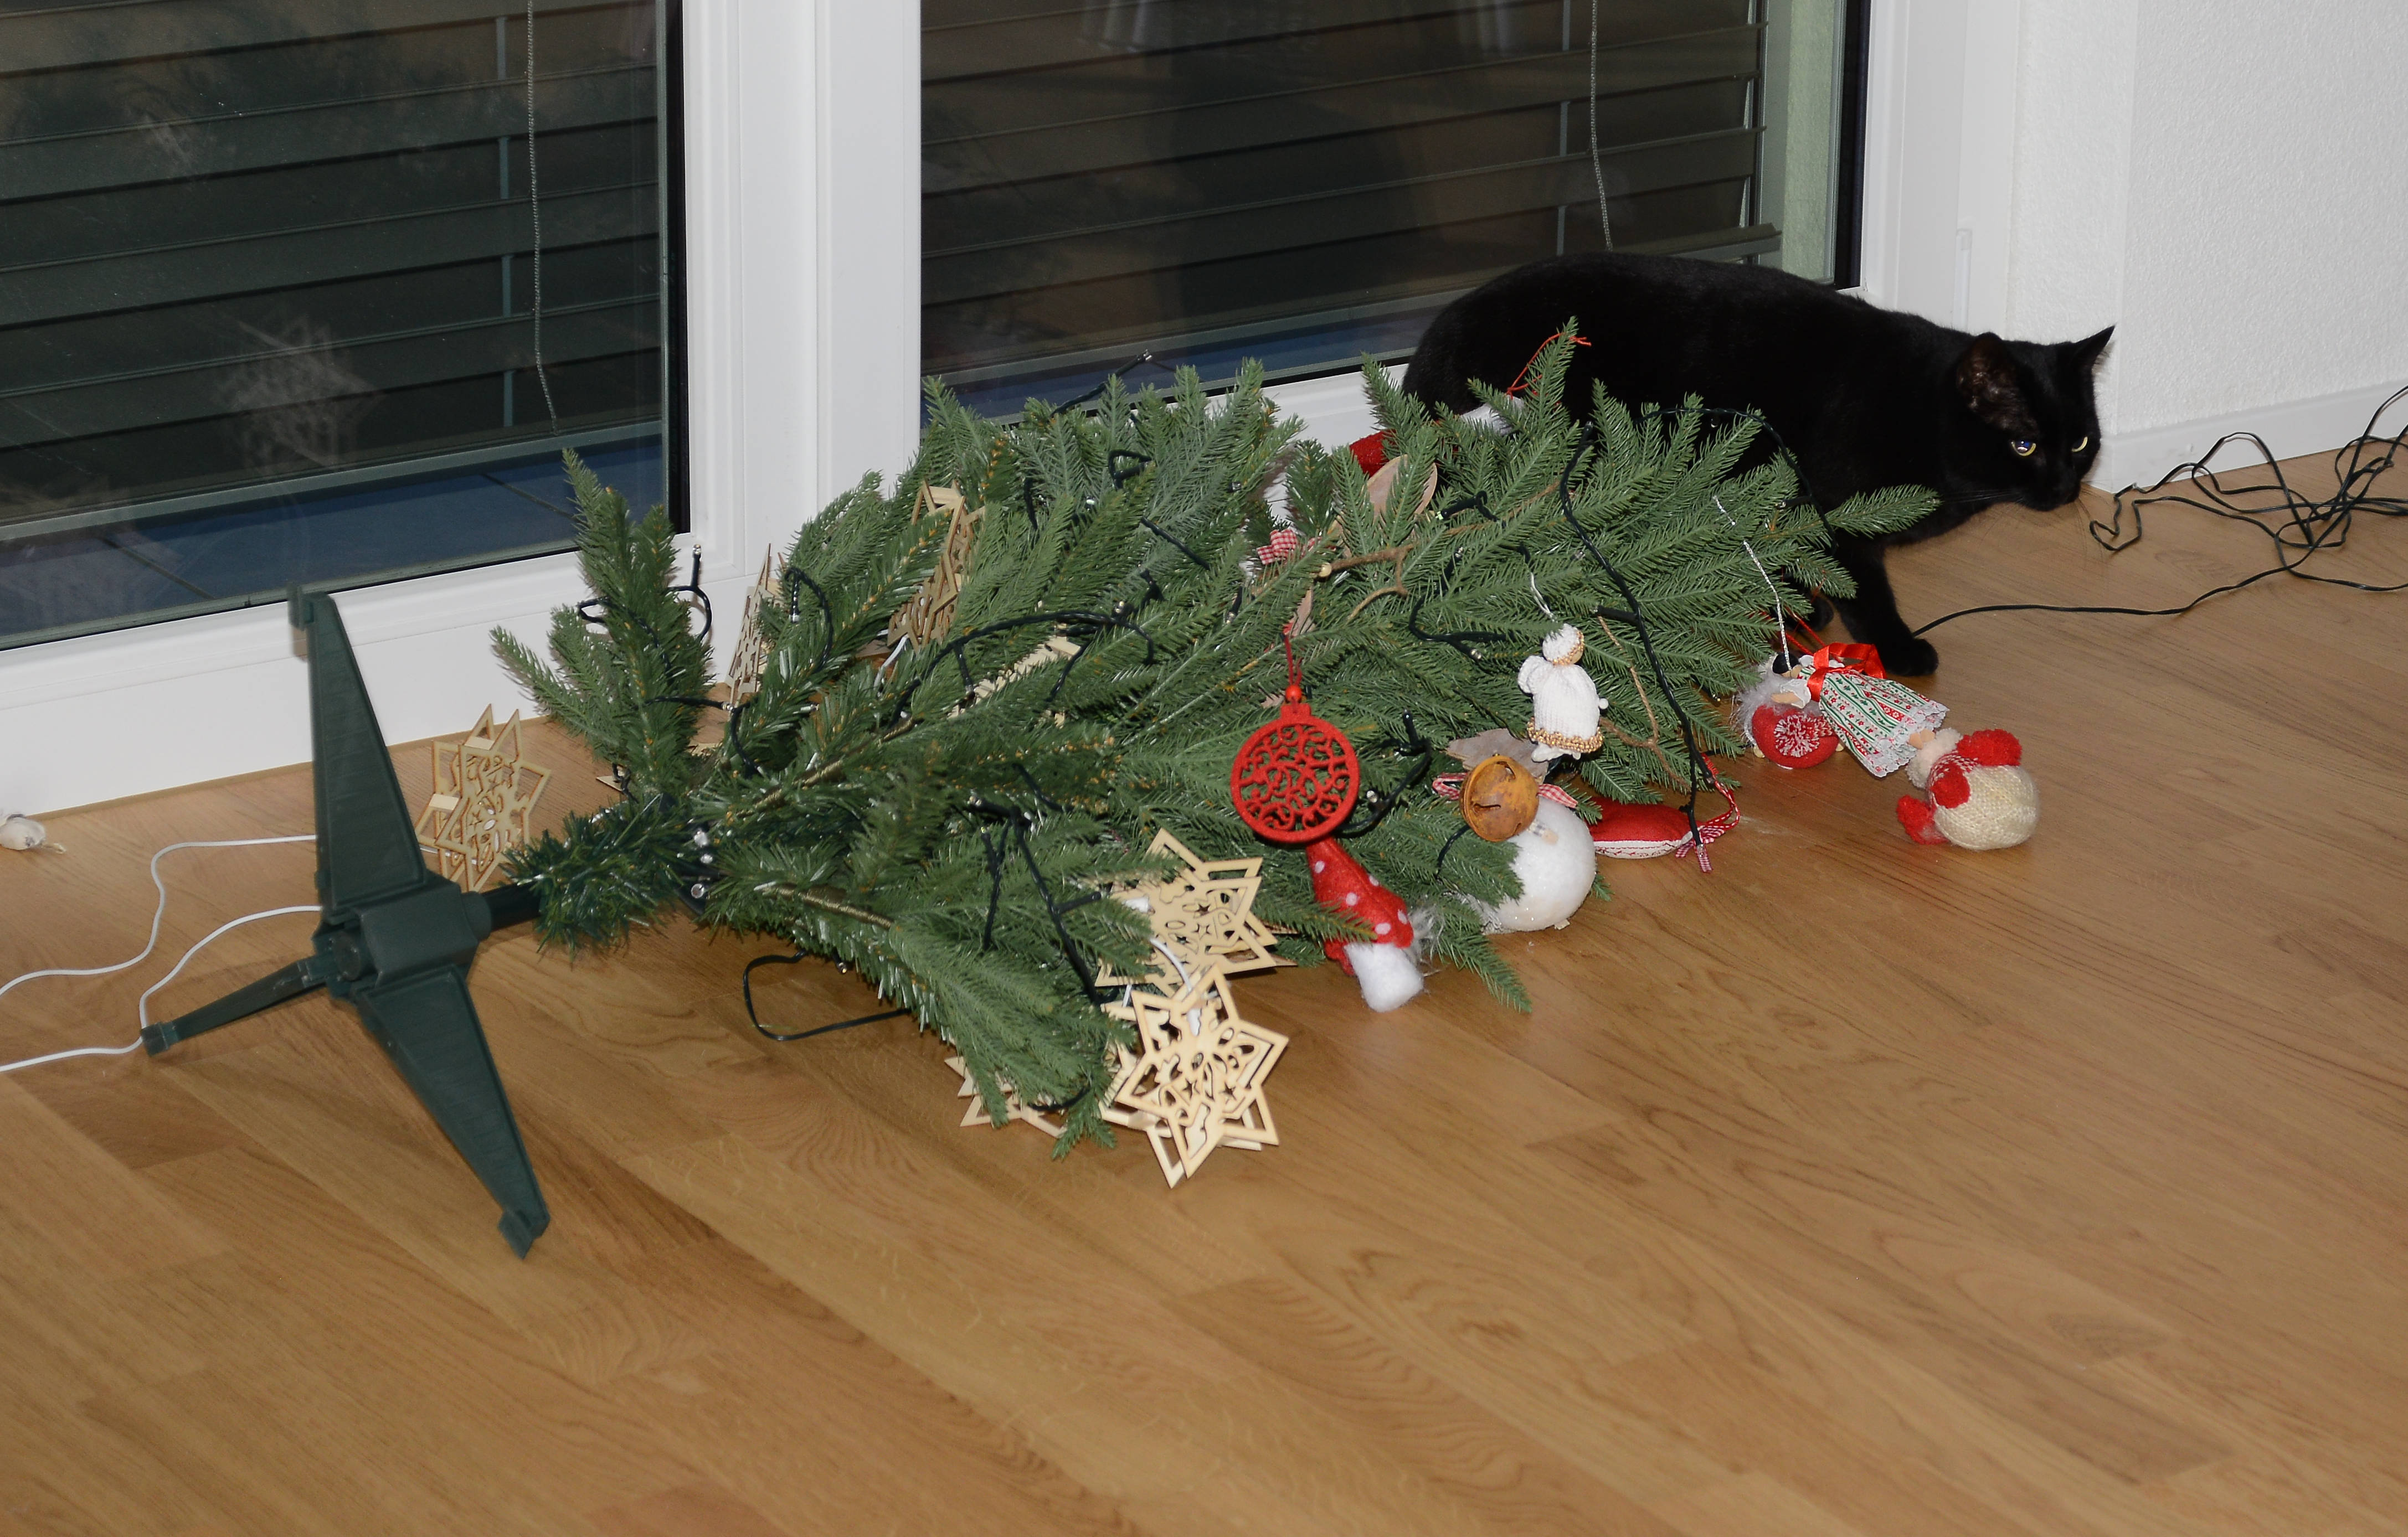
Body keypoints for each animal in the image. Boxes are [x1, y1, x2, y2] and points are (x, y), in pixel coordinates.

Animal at [1396, 255, 2109, 679]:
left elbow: (1796, 559)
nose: (2065, 488)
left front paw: (1797, 606)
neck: (1921, 409)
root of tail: (1431, 341)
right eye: (2024, 445)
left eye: (2080, 442)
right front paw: (1898, 647)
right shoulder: (1837, 512)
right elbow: (1864, 590)